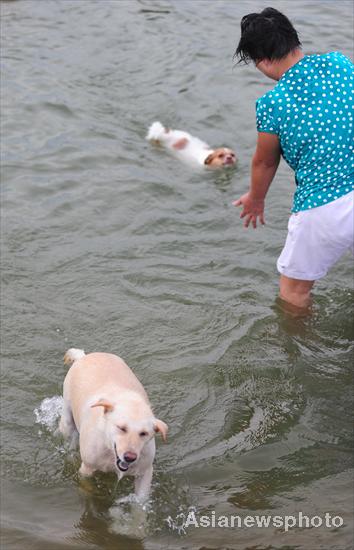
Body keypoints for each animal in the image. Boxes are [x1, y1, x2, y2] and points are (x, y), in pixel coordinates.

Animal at [58, 352, 168, 502]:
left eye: (144, 433)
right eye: (121, 428)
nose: (130, 457)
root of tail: (85, 356)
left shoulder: (145, 473)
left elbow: (140, 504)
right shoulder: (86, 470)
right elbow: (88, 489)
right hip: (67, 421)